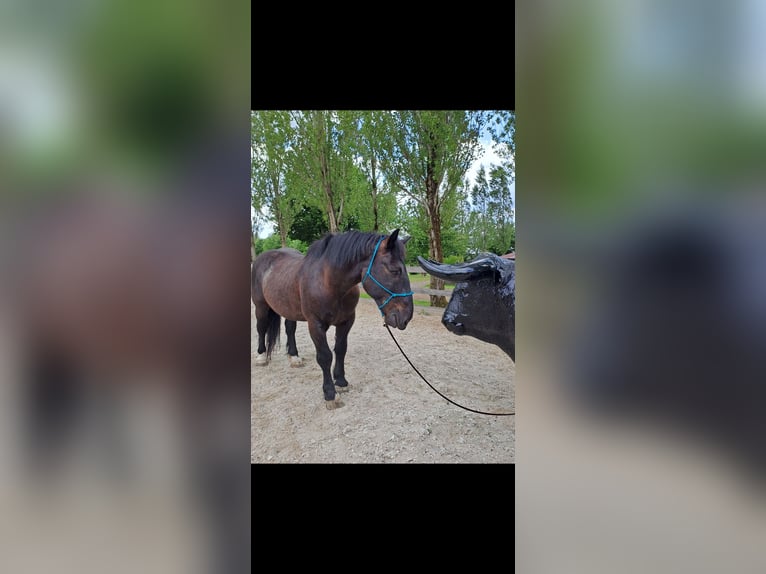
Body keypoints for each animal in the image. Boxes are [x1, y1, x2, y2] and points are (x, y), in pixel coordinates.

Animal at [251, 229, 414, 409]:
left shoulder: (346, 321)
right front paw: (330, 393)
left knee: (290, 329)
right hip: (261, 307)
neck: (328, 282)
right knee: (261, 328)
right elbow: (325, 356)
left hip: (288, 308)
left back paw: (294, 357)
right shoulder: (315, 325)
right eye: (394, 270)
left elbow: (341, 349)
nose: (406, 317)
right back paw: (261, 356)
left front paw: (341, 382)